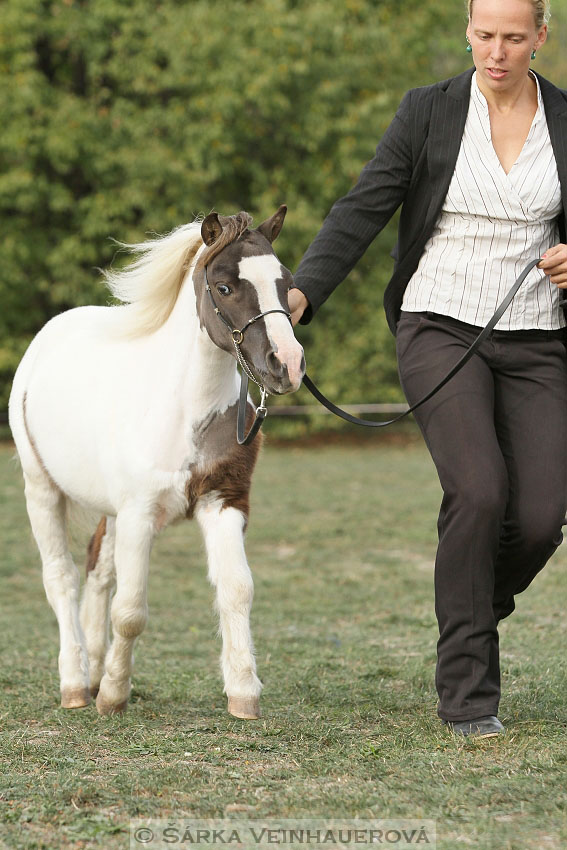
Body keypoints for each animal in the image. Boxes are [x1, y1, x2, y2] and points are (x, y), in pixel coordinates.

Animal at [8, 205, 304, 716]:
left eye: (285, 282)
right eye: (224, 287)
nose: (286, 364)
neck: (183, 413)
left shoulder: (224, 503)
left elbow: (236, 591)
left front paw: (243, 694)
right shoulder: (139, 513)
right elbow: (130, 612)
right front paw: (113, 696)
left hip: (110, 510)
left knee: (98, 570)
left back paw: (92, 670)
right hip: (40, 488)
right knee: (61, 578)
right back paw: (76, 686)